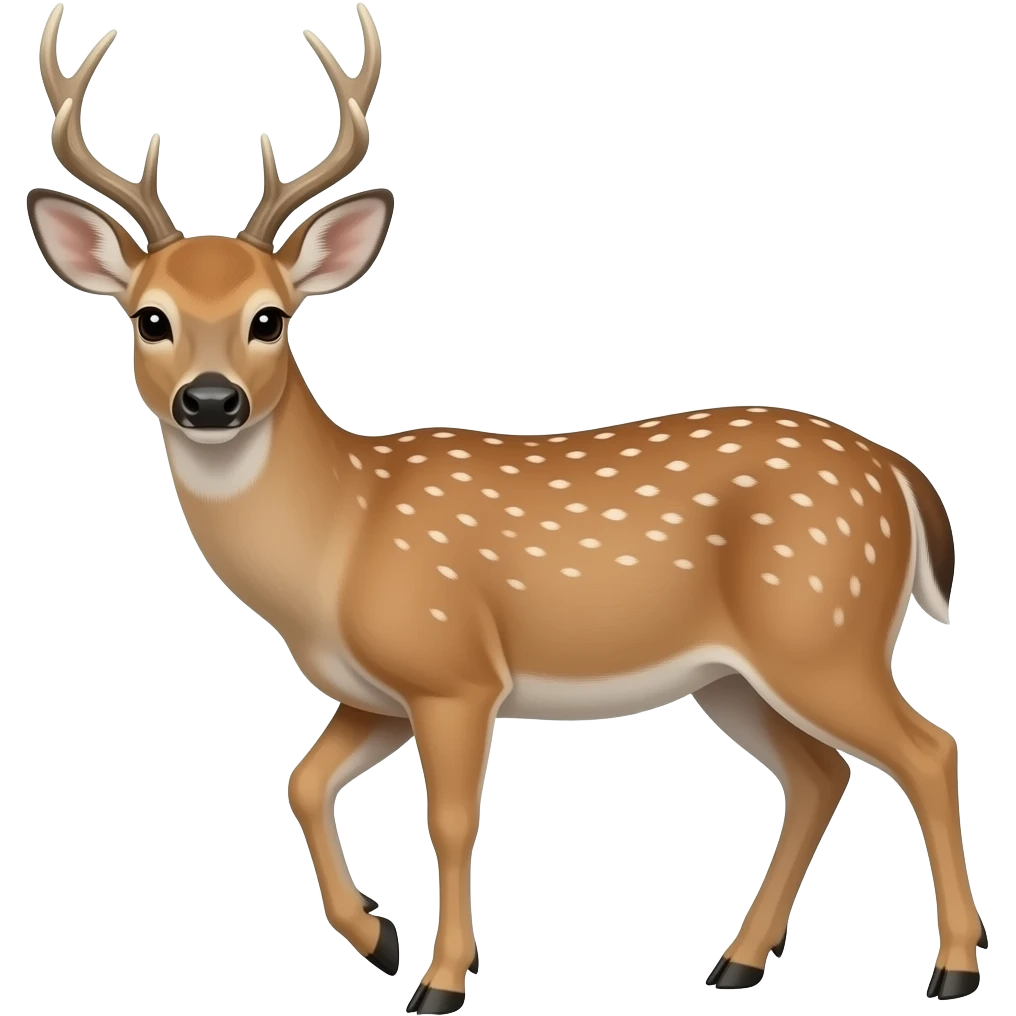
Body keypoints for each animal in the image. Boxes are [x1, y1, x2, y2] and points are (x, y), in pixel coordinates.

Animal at [26, 3, 984, 1011]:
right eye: (150, 318)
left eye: (269, 317)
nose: (210, 401)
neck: (340, 538)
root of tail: (903, 475)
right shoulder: (377, 692)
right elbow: (301, 781)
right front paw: (378, 936)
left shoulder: (453, 668)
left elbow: (450, 820)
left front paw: (441, 979)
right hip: (736, 674)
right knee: (821, 772)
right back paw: (738, 961)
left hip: (822, 629)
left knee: (927, 749)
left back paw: (953, 967)